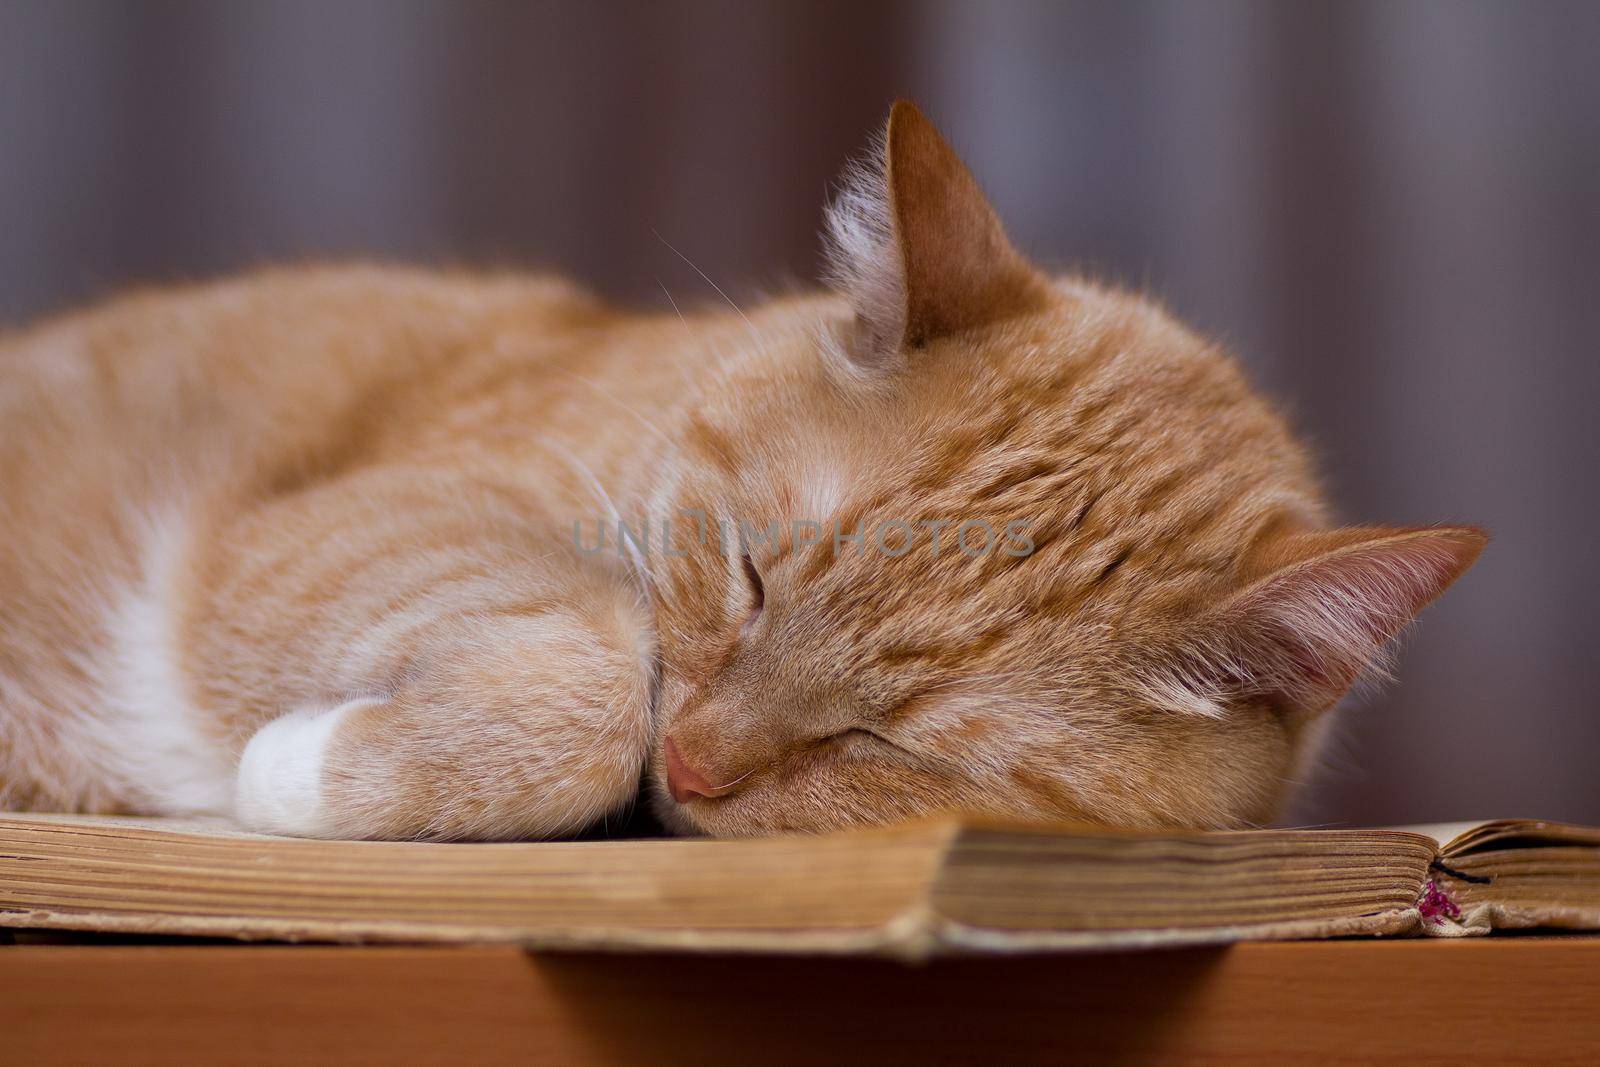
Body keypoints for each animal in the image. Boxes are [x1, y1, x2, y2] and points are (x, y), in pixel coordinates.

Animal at [0, 103, 1478, 844]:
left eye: (887, 743)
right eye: (751, 574)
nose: (692, 764)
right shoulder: (341, 521)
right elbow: (594, 674)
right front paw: (294, 771)